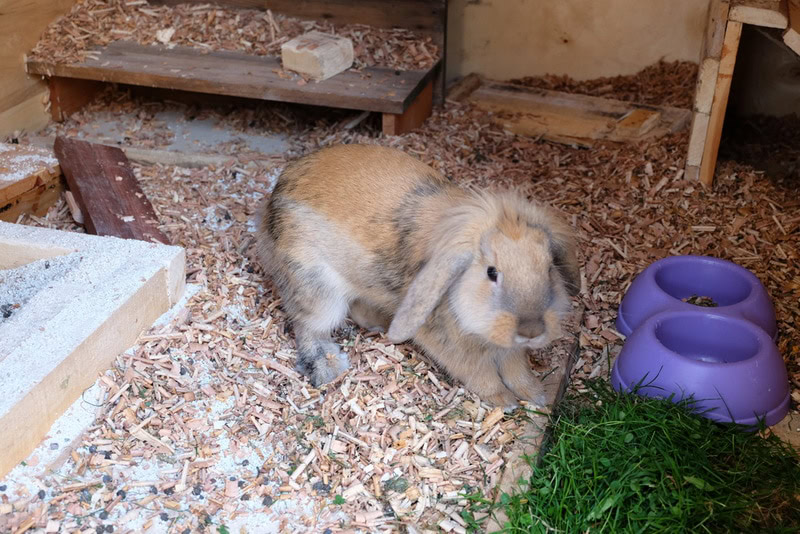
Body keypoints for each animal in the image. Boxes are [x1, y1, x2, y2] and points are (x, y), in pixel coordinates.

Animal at [256, 144, 580, 407]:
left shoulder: (509, 351)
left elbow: (516, 368)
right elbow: (478, 371)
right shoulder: (450, 345)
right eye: (492, 273)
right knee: (308, 326)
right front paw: (504, 401)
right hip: (316, 288)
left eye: (549, 267)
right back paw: (327, 367)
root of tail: (278, 190)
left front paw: (535, 395)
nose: (531, 331)